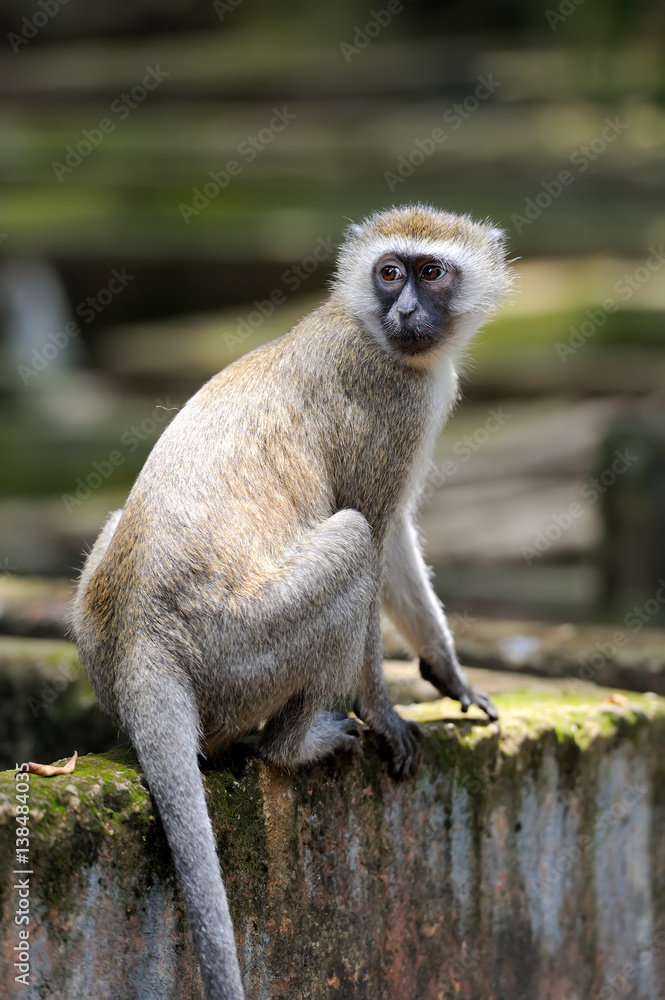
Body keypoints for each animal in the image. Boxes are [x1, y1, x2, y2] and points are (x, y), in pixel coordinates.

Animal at [70, 204, 510, 1000]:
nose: (403, 311)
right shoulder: (393, 406)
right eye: (390, 272)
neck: (363, 325)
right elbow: (376, 531)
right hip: (241, 649)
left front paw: (446, 669)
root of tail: (142, 635)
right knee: (352, 543)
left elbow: (396, 534)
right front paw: (384, 709)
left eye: (430, 272)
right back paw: (293, 746)